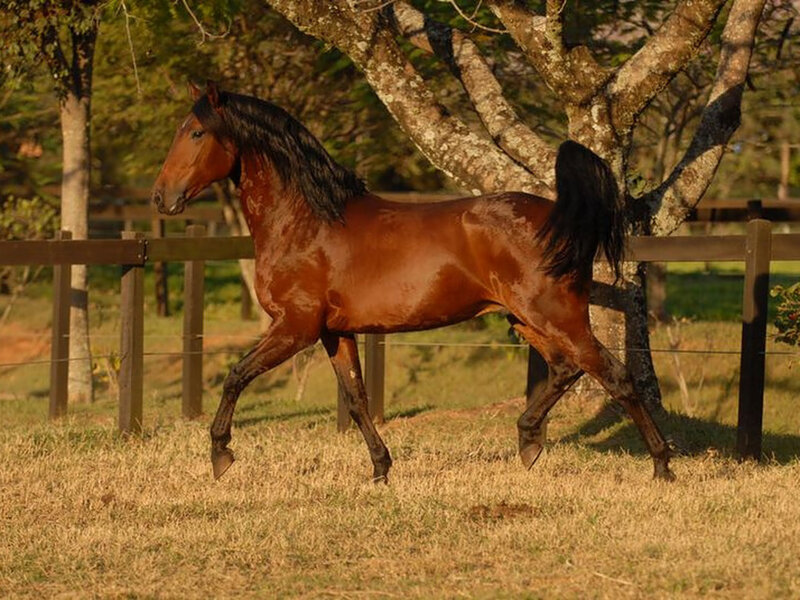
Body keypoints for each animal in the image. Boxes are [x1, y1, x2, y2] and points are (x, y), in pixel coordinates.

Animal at [152, 81, 674, 482]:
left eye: (196, 132)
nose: (162, 198)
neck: (307, 223)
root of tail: (558, 216)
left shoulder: (294, 328)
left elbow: (235, 375)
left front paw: (220, 454)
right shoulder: (334, 332)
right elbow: (357, 399)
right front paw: (381, 470)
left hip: (558, 317)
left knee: (616, 375)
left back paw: (662, 466)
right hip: (525, 319)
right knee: (567, 369)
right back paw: (528, 442)